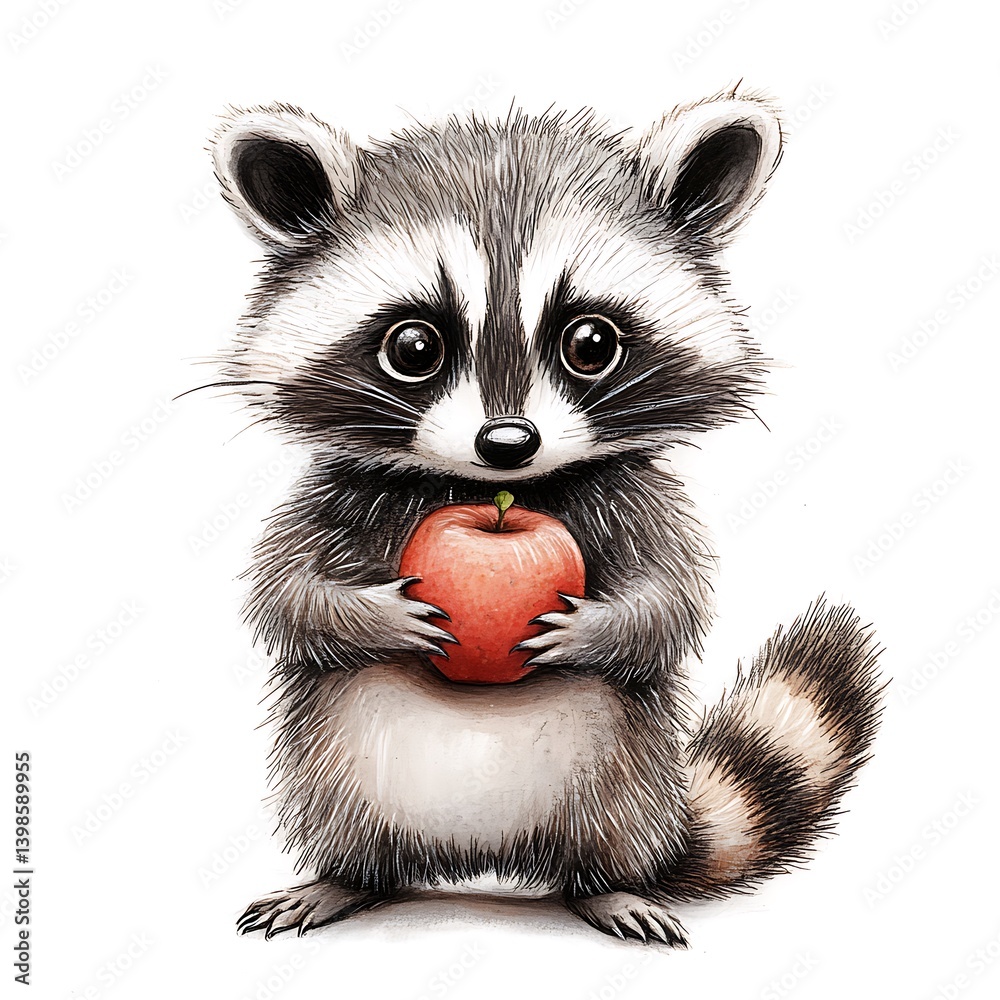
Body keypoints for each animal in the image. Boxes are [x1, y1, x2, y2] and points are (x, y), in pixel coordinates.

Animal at [208, 90, 882, 946]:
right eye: (413, 347)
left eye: (590, 342)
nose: (507, 443)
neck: (503, 494)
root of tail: (478, 857)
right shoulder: (339, 490)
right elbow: (287, 592)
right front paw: (374, 614)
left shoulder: (637, 496)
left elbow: (670, 602)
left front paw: (593, 628)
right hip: (331, 773)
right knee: (349, 823)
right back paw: (345, 878)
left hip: (625, 779)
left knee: (606, 834)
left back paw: (606, 887)